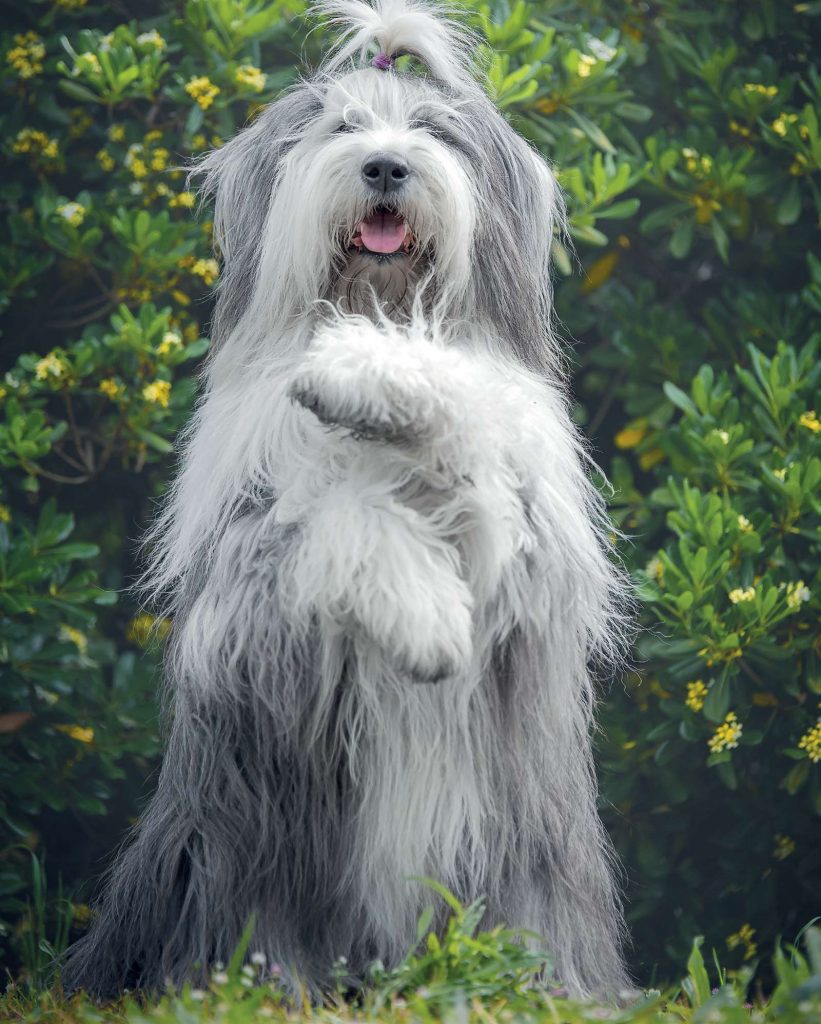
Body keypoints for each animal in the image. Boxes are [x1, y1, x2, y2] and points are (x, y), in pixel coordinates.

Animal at [62, 0, 626, 999]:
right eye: (341, 127)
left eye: (433, 131)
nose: (387, 165)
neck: (382, 303)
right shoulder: (249, 587)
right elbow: (328, 520)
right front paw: (421, 620)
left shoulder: (520, 551)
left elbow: (468, 452)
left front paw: (366, 374)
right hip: (225, 842)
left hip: (526, 863)